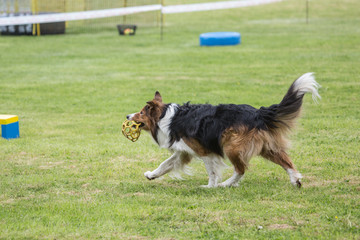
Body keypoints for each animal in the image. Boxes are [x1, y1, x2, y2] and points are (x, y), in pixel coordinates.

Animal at [126, 73, 320, 188]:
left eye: (141, 113)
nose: (127, 116)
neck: (166, 118)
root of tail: (258, 112)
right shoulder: (184, 152)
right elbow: (165, 164)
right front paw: (151, 175)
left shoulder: (204, 151)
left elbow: (211, 171)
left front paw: (210, 187)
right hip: (265, 147)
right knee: (286, 161)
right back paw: (295, 180)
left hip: (231, 145)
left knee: (241, 170)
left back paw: (226, 184)